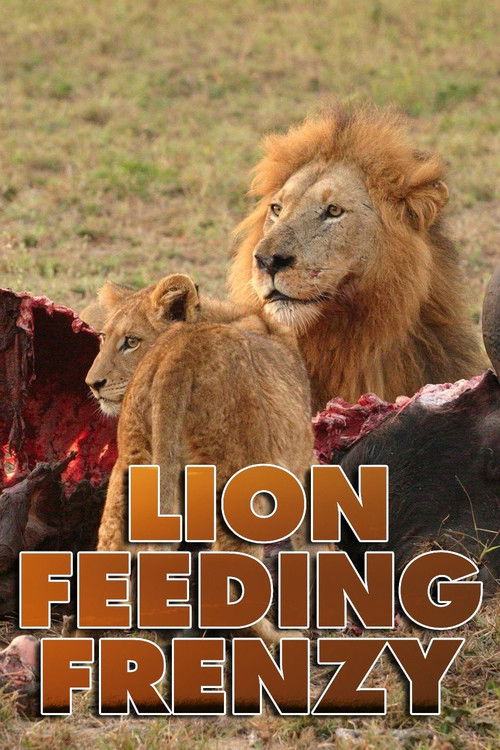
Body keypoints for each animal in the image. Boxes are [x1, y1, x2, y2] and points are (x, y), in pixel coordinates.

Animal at [86, 274, 314, 643]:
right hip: (234, 474)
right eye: (105, 338)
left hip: (132, 467)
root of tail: (177, 353)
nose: (92, 384)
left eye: (130, 342)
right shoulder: (302, 456)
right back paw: (275, 637)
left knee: (110, 548)